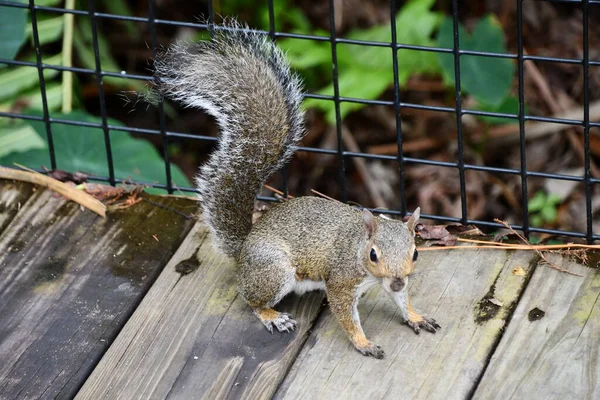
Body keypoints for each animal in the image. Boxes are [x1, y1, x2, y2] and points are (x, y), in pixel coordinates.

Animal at [152, 22, 438, 360]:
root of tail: (244, 249)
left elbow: (403, 301)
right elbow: (346, 315)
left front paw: (414, 315)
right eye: (373, 254)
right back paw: (272, 316)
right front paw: (363, 342)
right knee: (250, 299)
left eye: (415, 253)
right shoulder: (340, 281)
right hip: (275, 270)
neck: (357, 250)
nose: (394, 282)